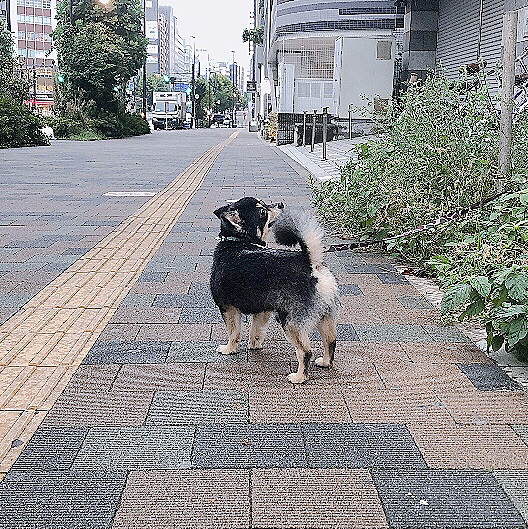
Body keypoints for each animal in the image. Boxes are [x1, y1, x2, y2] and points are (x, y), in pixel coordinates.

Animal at [209, 196, 338, 382]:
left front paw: (229, 349)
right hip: (323, 316)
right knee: (330, 340)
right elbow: (256, 331)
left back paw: (299, 377)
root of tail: (310, 263)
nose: (280, 204)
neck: (238, 242)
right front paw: (254, 346)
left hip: (289, 321)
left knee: (305, 351)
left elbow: (233, 333)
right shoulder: (262, 311)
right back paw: (325, 362)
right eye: (263, 211)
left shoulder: (228, 308)